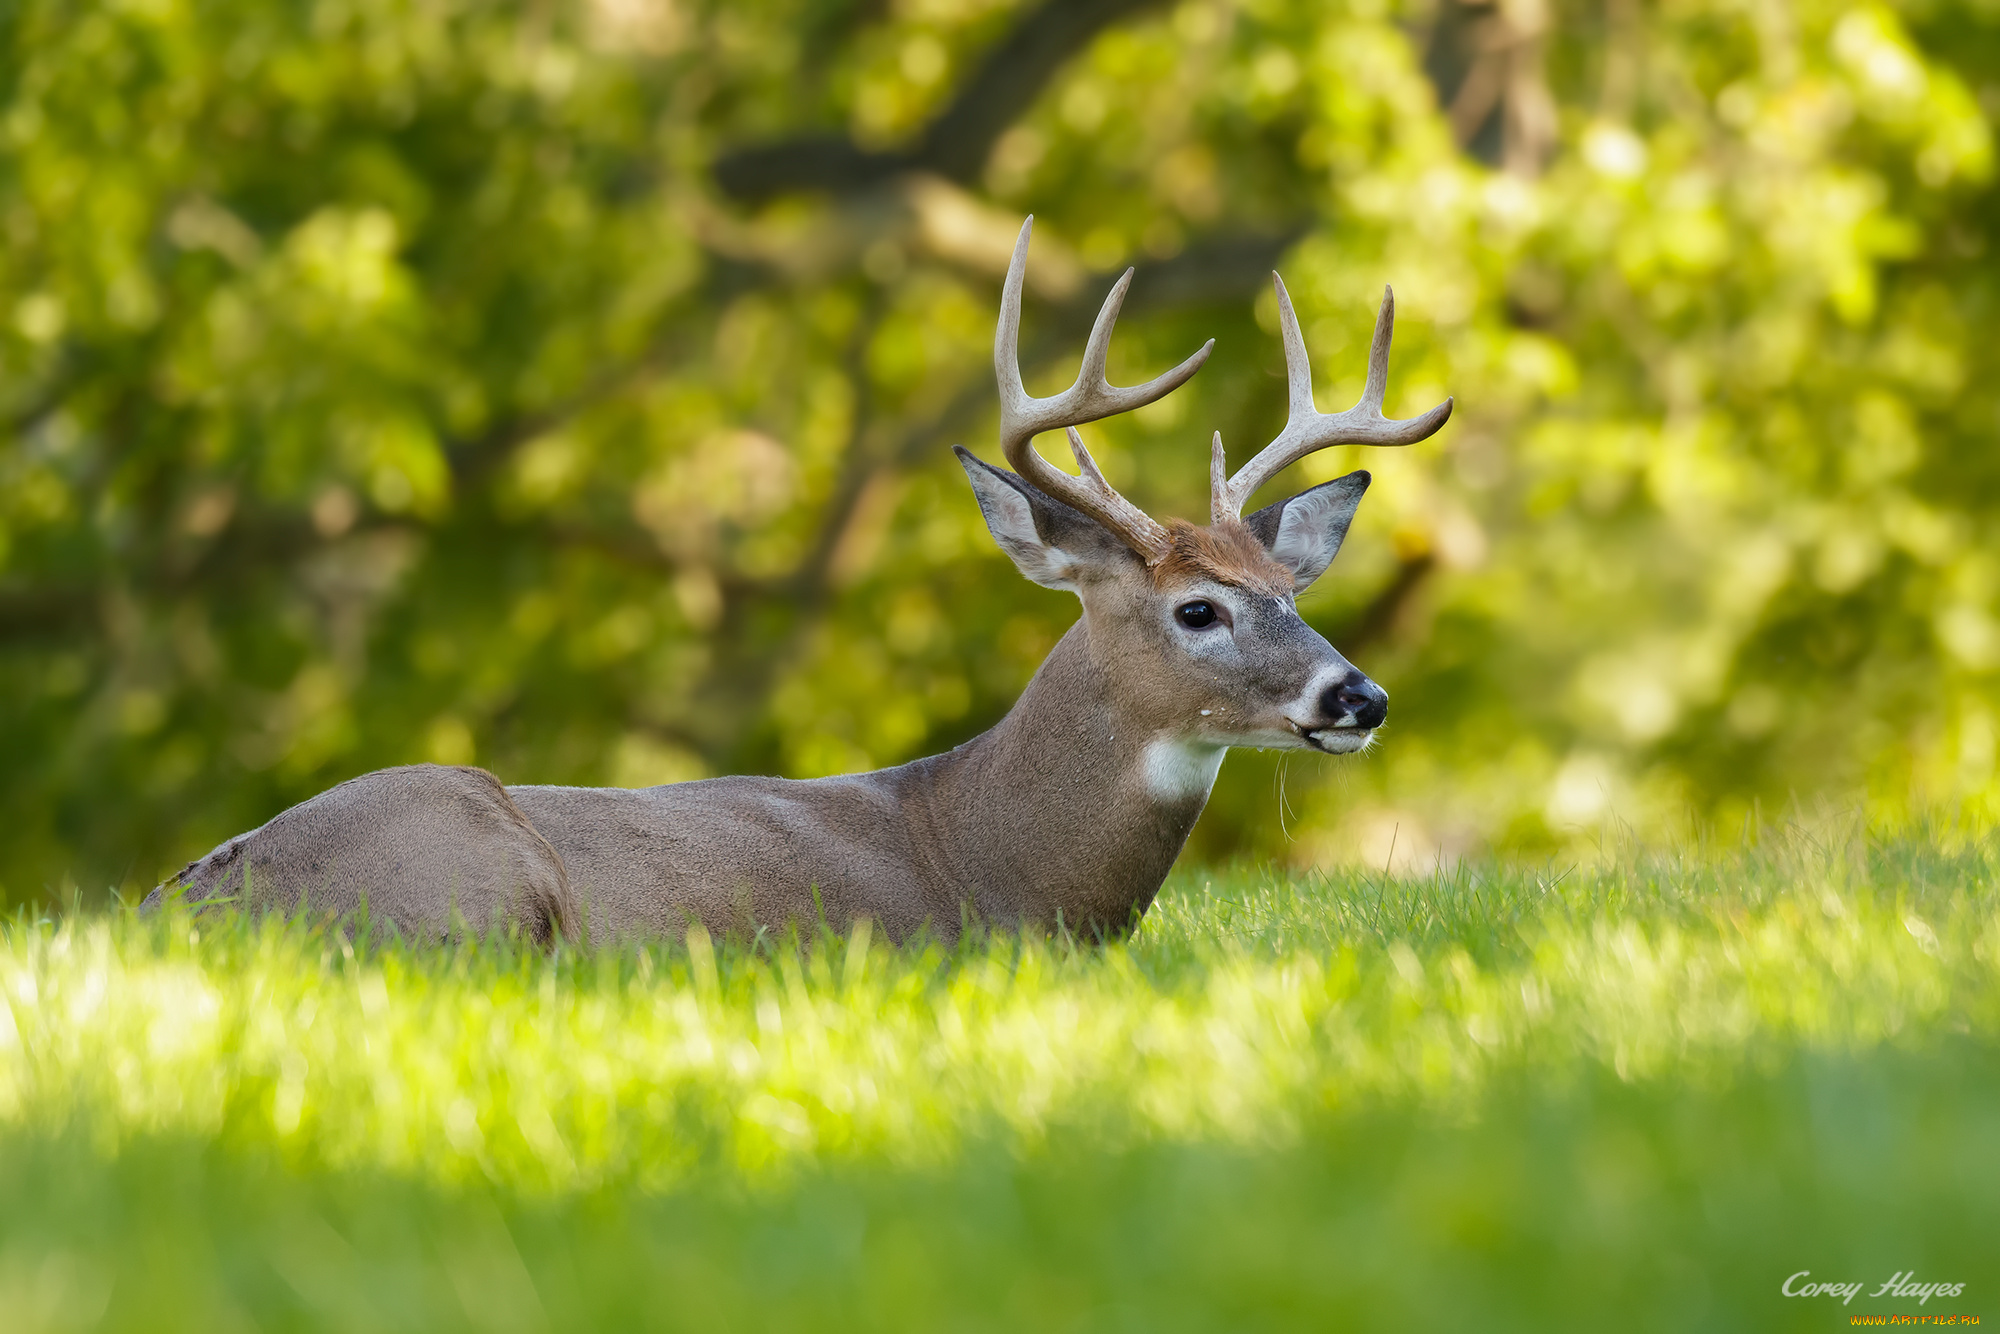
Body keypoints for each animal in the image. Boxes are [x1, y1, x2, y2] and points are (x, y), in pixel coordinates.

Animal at [145, 219, 1456, 948]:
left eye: (1289, 592)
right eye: (1197, 608)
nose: (1361, 696)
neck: (991, 865)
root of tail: (189, 902)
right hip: (471, 868)